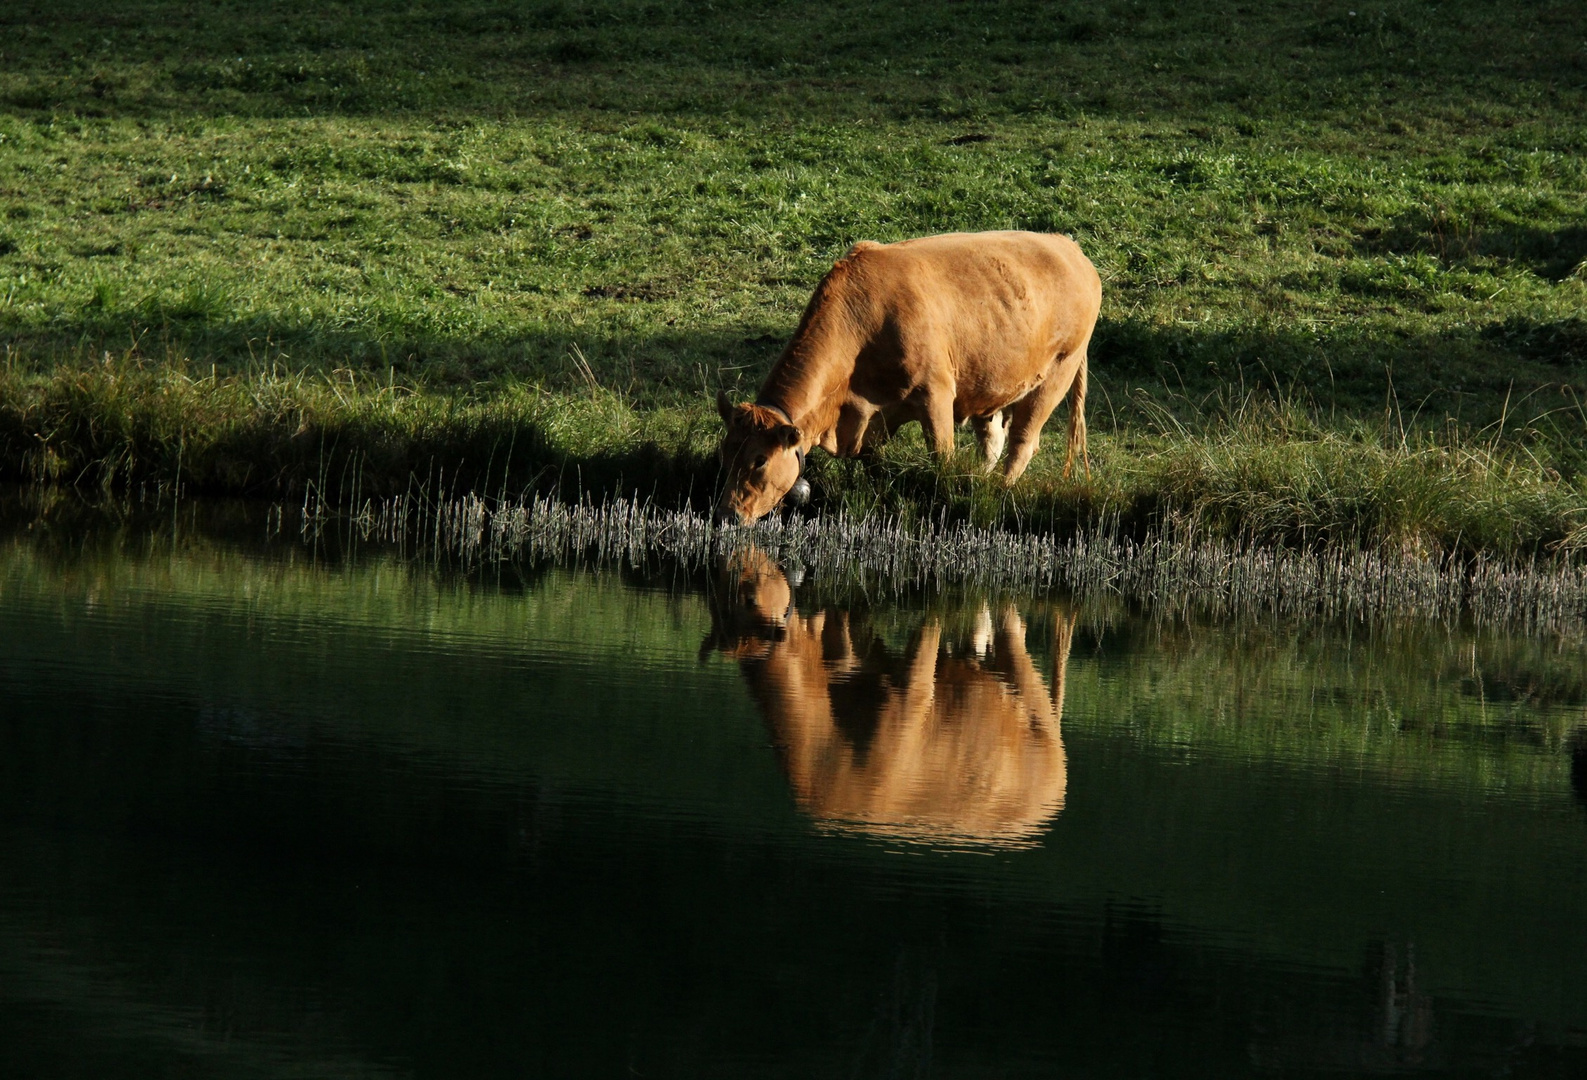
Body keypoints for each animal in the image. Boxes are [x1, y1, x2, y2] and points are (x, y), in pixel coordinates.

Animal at [720, 229, 1104, 523]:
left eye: (760, 460)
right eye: (725, 451)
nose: (727, 514)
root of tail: (1069, 247)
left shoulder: (936, 393)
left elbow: (942, 458)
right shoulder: (866, 419)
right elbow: (872, 464)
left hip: (1058, 372)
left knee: (1022, 442)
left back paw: (999, 490)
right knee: (993, 440)